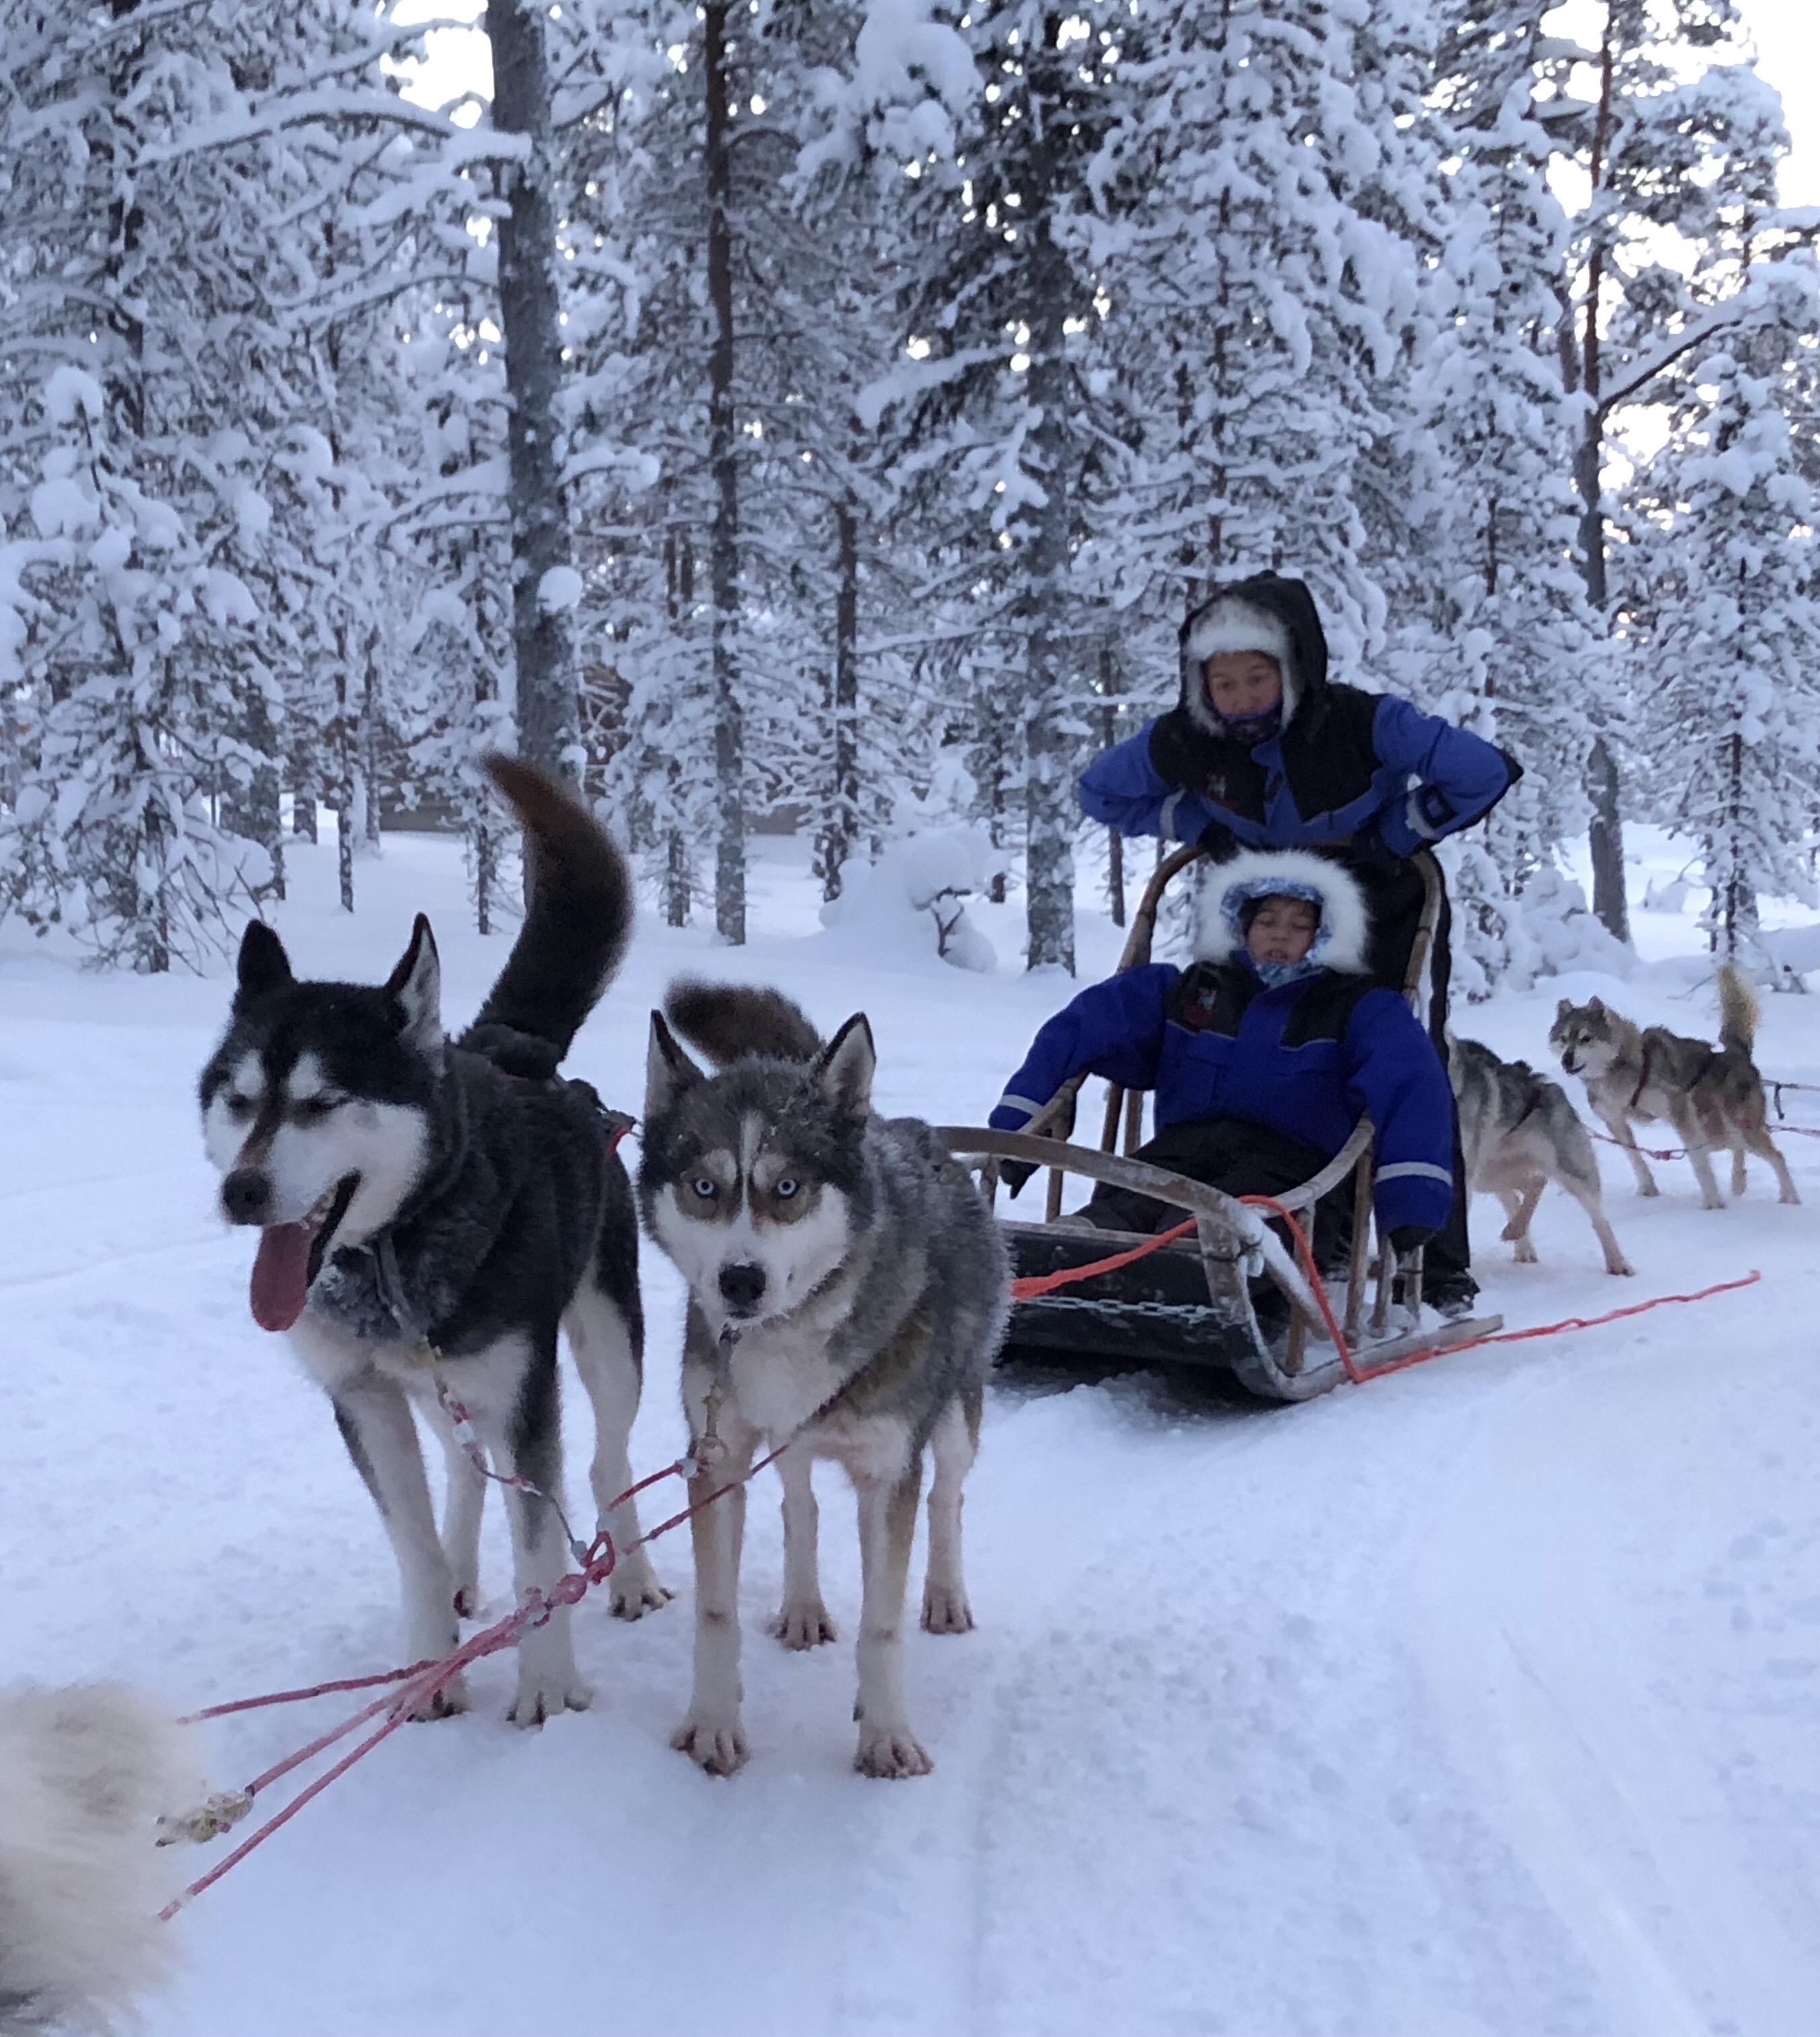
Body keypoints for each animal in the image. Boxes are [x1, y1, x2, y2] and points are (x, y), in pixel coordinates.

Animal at [199, 757, 668, 1727]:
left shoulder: (528, 1399)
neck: (396, 1255)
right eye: (238, 1099)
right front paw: (426, 1664)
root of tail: (508, 1047)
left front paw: (547, 1683)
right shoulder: (364, 1400)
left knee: (605, 1461)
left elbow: (539, 1543)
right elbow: (410, 1544)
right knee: (464, 1468)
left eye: (322, 1102)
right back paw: (458, 1576)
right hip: (440, 1388)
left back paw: (631, 1574)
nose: (241, 1193)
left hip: (607, 1346)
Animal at [643, 977, 1010, 1776]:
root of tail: (899, 1125)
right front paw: (713, 1722)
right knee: (799, 1504)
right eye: (703, 1187)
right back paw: (804, 1606)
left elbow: (882, 1626)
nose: (739, 1281)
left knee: (948, 1497)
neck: (790, 1332)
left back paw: (944, 1594)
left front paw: (886, 1734)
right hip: (790, 1438)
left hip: (955, 1415)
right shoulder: (717, 1456)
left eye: (788, 1187)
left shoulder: (888, 1472)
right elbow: (715, 1610)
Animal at [1449, 1035, 1636, 1270]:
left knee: (1597, 1218)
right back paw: (1519, 1237)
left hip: (1570, 1172)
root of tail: (1548, 1085)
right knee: (1529, 1187)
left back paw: (1618, 1264)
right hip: (1487, 1176)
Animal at [1563, 965, 1799, 1206]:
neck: (1617, 1069)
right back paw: (1738, 1184)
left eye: (1586, 1038)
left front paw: (1713, 1202)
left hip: (1736, 1126)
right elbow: (1635, 1156)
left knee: (1776, 1157)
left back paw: (1790, 1198)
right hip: (1720, 1130)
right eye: (1563, 1039)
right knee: (1739, 1149)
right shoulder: (1614, 1119)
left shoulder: (1681, 1112)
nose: (1566, 1060)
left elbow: (1699, 1162)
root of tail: (1737, 1052)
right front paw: (1649, 1189)